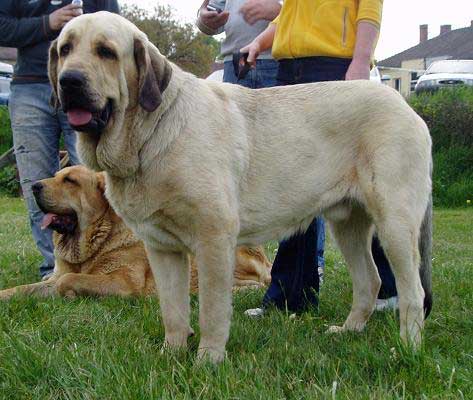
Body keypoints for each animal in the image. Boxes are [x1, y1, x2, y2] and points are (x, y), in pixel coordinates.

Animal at [0, 166, 270, 300]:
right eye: (56, 176)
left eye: (70, 180)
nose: (34, 186)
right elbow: (24, 288)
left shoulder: (122, 282)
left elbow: (68, 280)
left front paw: (69, 294)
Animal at [48, 12, 432, 362]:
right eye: (65, 49)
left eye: (106, 52)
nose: (69, 81)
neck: (149, 134)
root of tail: (406, 106)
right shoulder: (162, 248)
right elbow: (172, 309)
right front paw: (172, 353)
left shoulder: (213, 239)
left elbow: (212, 309)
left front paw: (208, 360)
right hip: (348, 225)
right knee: (369, 280)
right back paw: (348, 331)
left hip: (394, 224)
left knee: (412, 290)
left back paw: (408, 349)